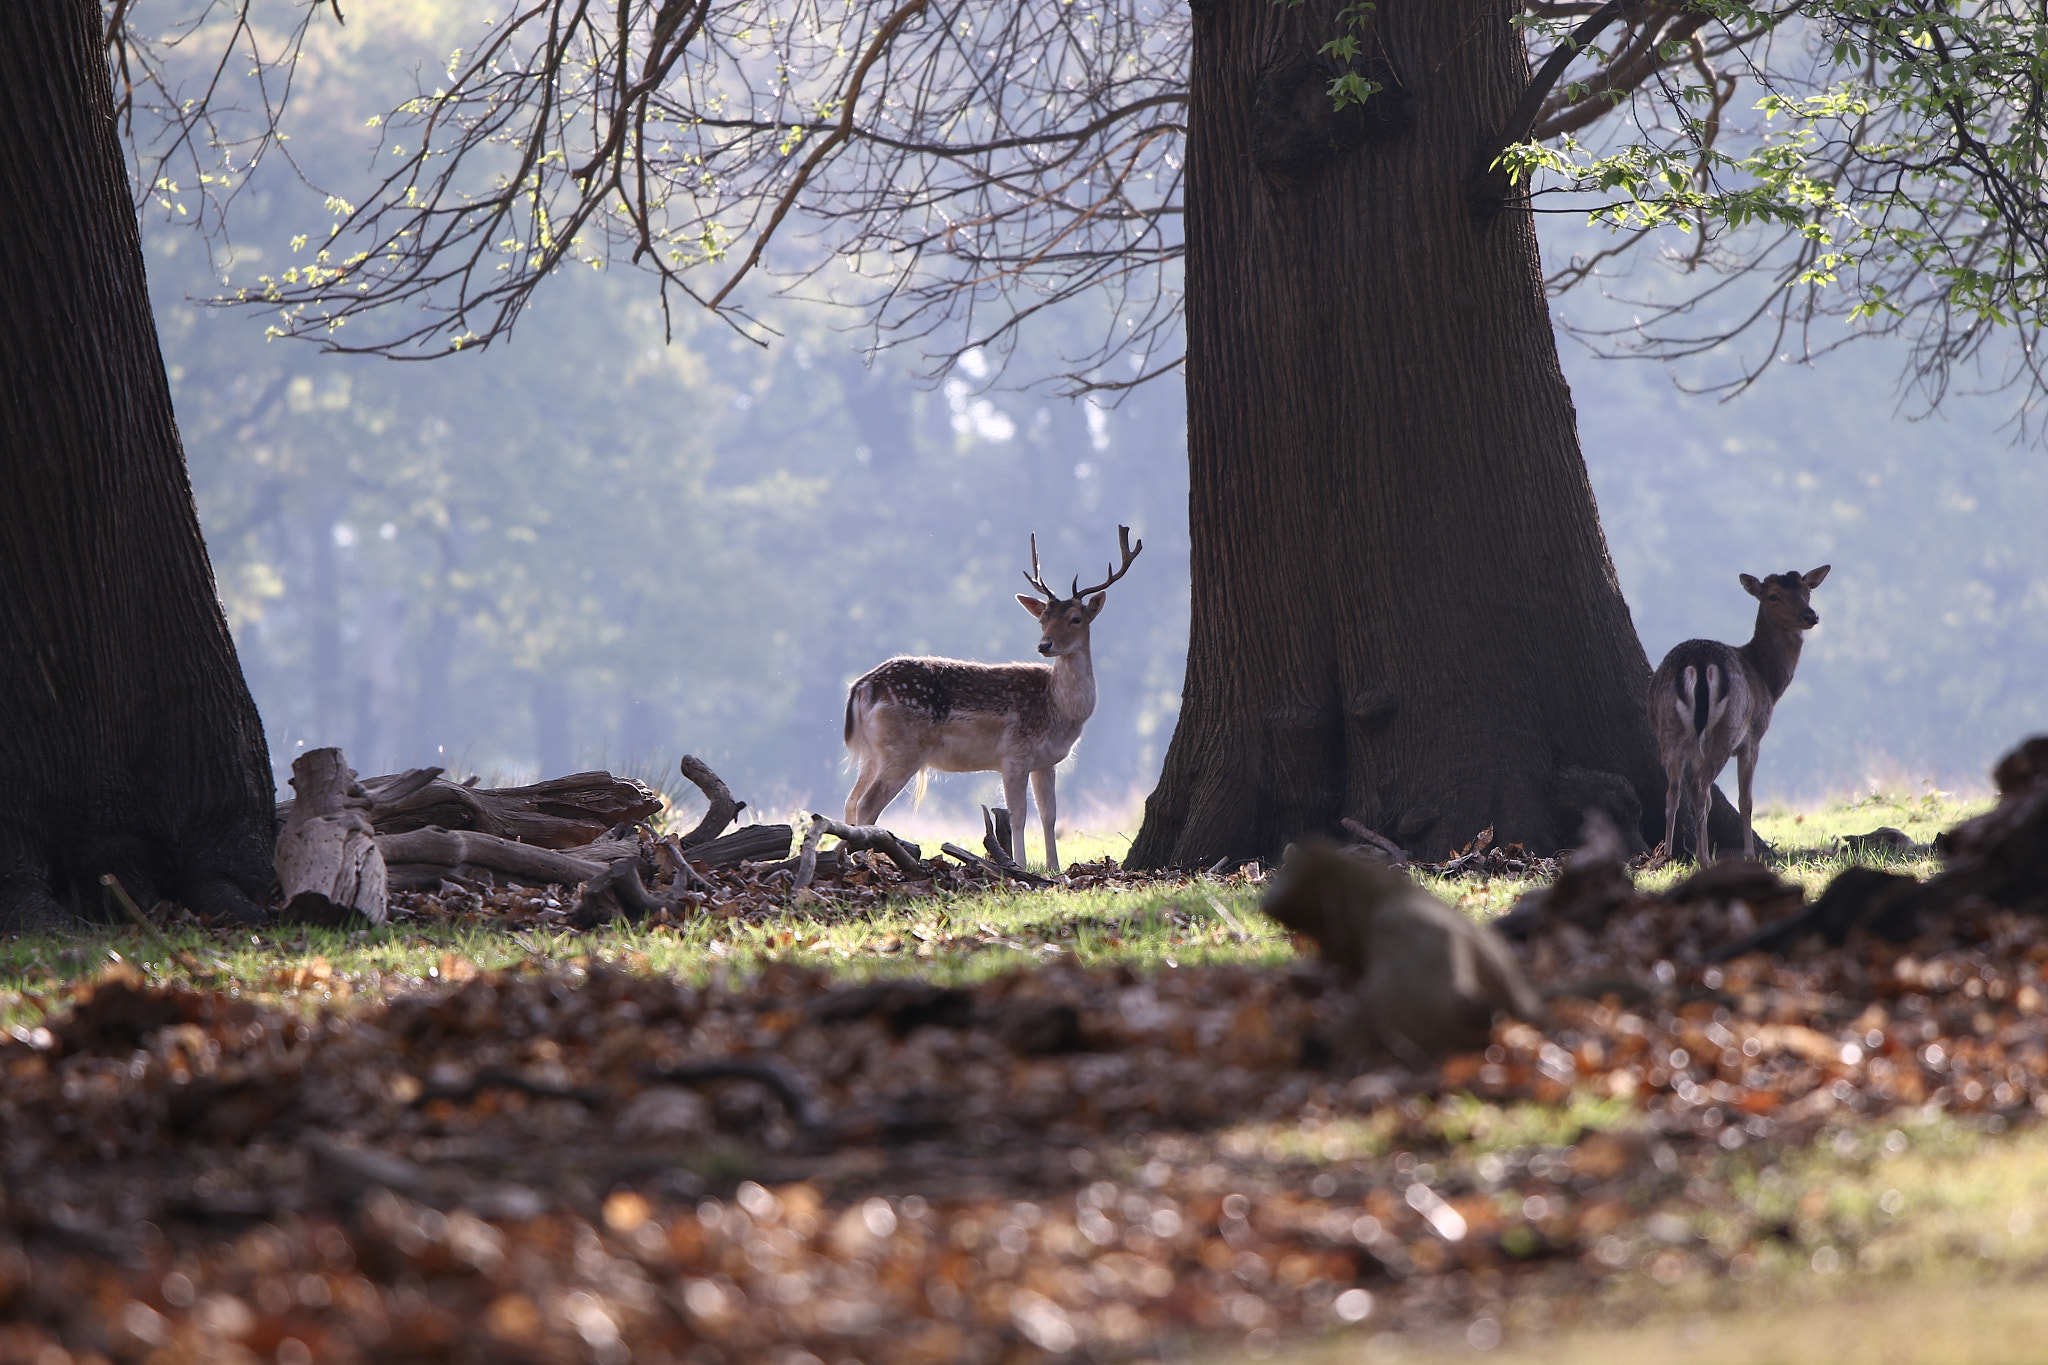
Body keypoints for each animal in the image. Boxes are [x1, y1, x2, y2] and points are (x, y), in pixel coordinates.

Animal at [839, 527, 1146, 871]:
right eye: (1043, 619)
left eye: (1076, 618)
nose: (1045, 645)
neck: (1061, 710)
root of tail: (861, 687)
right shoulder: (1014, 753)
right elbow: (1018, 815)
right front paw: (1020, 865)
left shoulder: (1046, 762)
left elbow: (1049, 815)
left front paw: (1054, 868)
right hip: (903, 749)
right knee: (867, 804)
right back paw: (869, 860)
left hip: (872, 752)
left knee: (851, 800)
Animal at [1654, 564, 1835, 863]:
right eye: (1773, 596)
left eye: (1807, 590)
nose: (1810, 616)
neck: (1768, 682)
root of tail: (1698, 664)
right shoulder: (1753, 739)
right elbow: (1746, 800)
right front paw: (1750, 854)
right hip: (1726, 730)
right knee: (1700, 784)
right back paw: (1704, 857)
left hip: (1669, 730)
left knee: (1674, 790)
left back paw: (1668, 854)